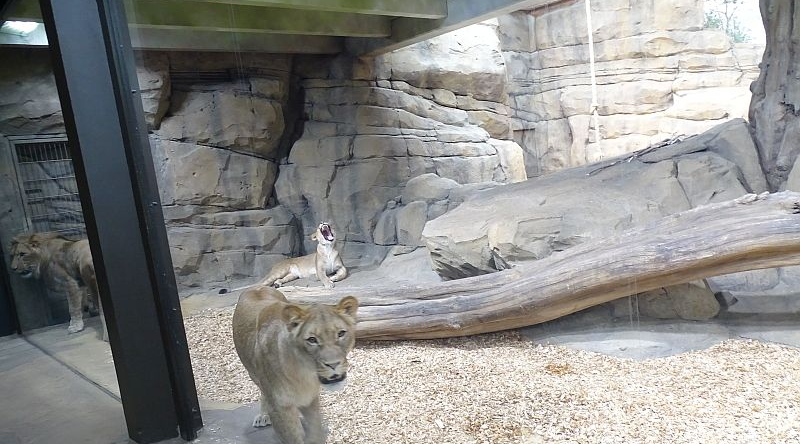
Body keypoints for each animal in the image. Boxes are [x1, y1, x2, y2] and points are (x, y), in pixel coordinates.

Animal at [230, 286, 358, 442]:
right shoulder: (280, 408)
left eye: (341, 333)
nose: (333, 364)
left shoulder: (310, 399)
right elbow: (292, 437)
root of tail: (257, 287)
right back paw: (263, 415)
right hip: (253, 374)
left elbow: (316, 431)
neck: (304, 373)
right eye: (312, 340)